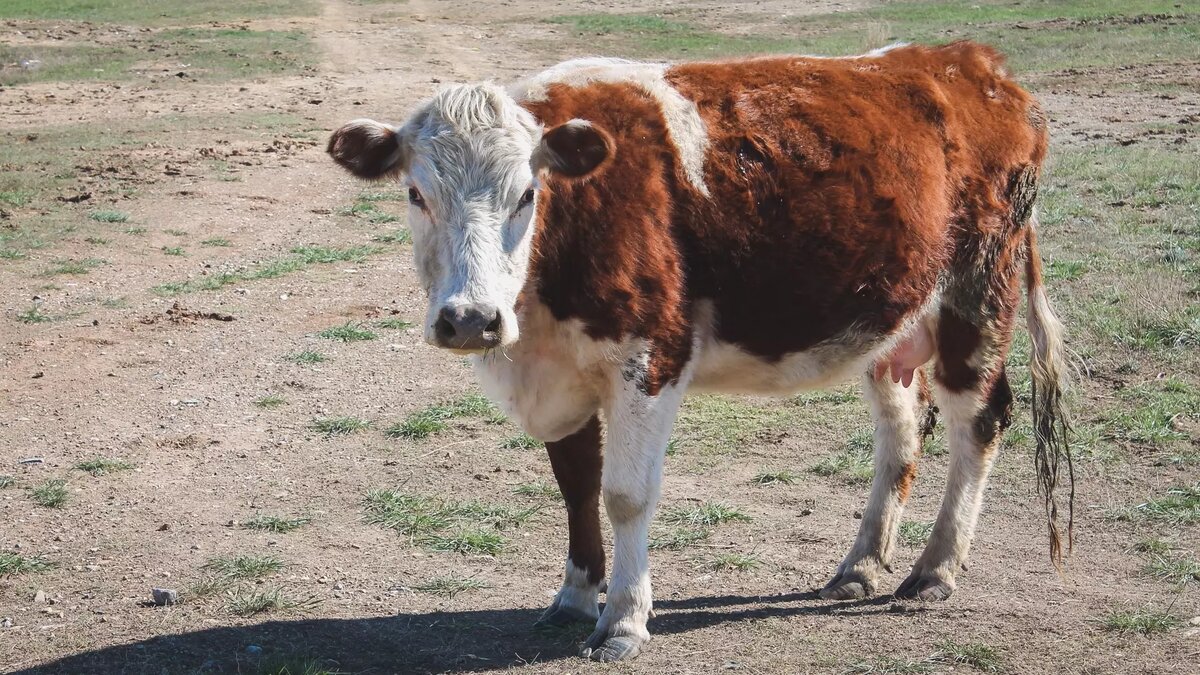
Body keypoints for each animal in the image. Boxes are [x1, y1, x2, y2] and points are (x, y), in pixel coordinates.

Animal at [326, 39, 1070, 658]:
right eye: (416, 193)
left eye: (527, 193)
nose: (470, 319)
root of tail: (970, 62)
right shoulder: (562, 374)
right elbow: (576, 484)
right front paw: (575, 597)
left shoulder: (650, 357)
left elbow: (625, 494)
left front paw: (623, 620)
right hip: (887, 321)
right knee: (902, 431)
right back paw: (860, 564)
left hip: (977, 295)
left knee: (981, 420)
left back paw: (936, 567)